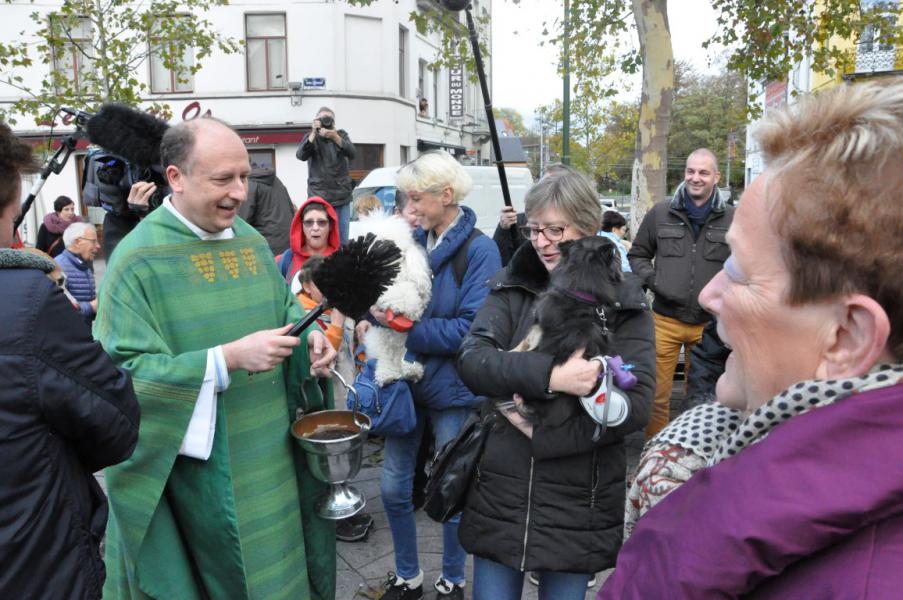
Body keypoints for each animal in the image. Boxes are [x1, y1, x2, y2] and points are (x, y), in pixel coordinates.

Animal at [354, 213, 432, 386]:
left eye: (388, 247)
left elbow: (411, 293)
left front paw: (405, 304)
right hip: (377, 338)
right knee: (385, 356)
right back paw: (387, 374)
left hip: (405, 344)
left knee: (406, 356)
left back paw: (411, 370)